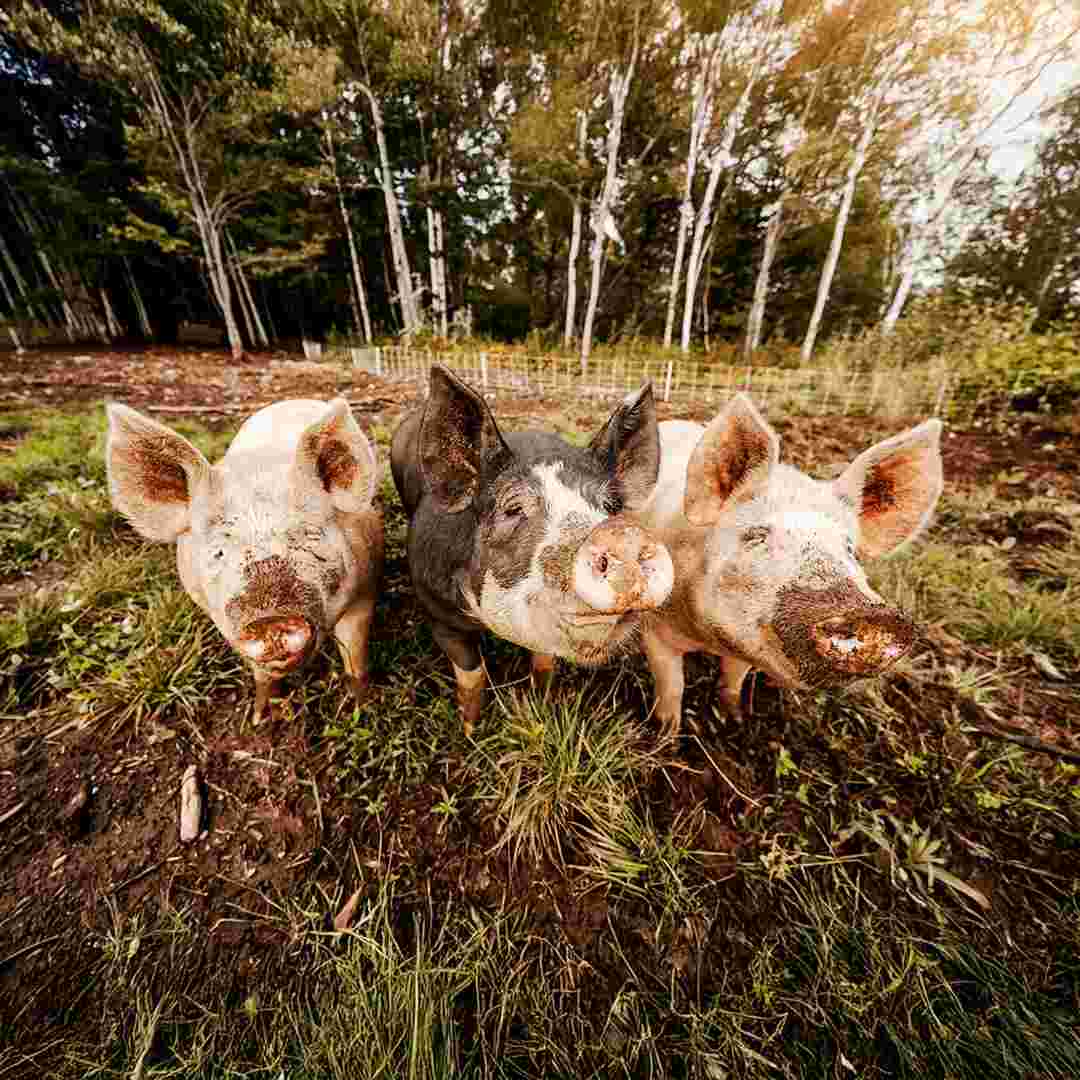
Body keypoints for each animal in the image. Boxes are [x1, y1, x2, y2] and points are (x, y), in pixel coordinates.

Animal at [105, 398, 384, 719]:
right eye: (218, 551)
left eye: (308, 535)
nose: (270, 620)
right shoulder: (222, 620)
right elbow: (260, 674)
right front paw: (261, 717)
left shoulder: (366, 587)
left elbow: (355, 655)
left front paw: (361, 708)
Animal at [390, 364, 675, 734]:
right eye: (513, 508)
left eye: (610, 507)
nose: (621, 535)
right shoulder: (435, 609)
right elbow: (472, 676)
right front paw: (470, 732)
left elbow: (544, 666)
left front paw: (542, 704)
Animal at [633, 393, 943, 737]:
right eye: (756, 536)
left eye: (850, 549)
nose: (872, 615)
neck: (711, 641)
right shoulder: (656, 628)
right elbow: (672, 685)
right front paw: (666, 736)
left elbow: (734, 678)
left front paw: (733, 719)